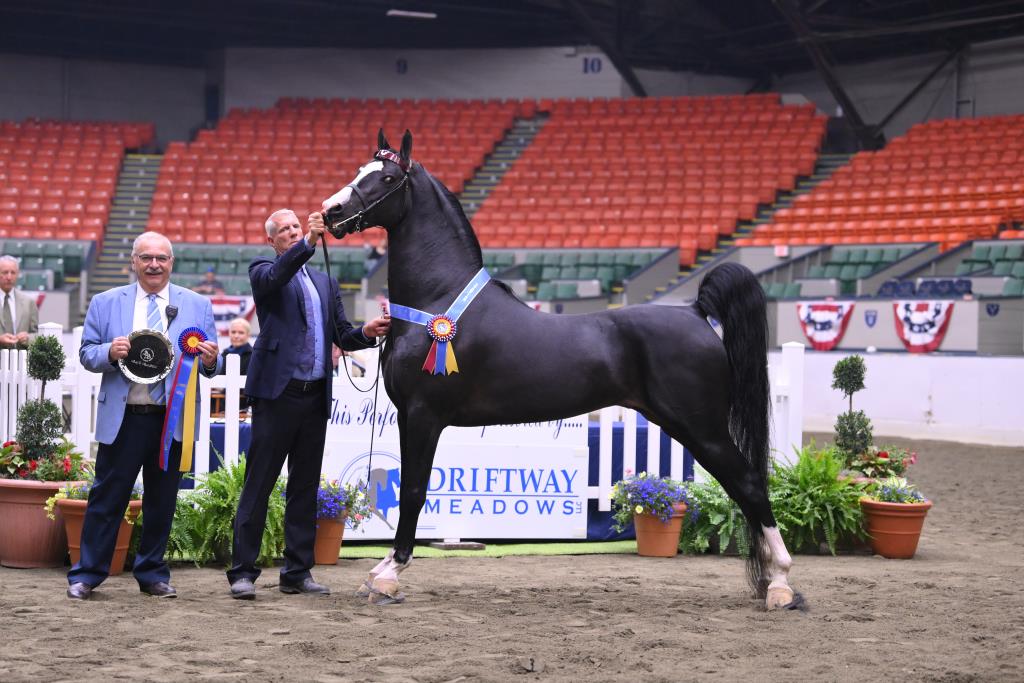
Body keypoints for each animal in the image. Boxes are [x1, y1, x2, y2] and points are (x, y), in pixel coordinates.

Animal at [323, 131, 794, 610]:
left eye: (386, 178)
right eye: (358, 171)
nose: (331, 212)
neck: (438, 301)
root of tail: (698, 312)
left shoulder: (422, 415)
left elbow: (415, 492)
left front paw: (388, 574)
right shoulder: (412, 417)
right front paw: (380, 572)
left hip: (704, 428)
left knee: (749, 484)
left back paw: (781, 584)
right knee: (741, 488)